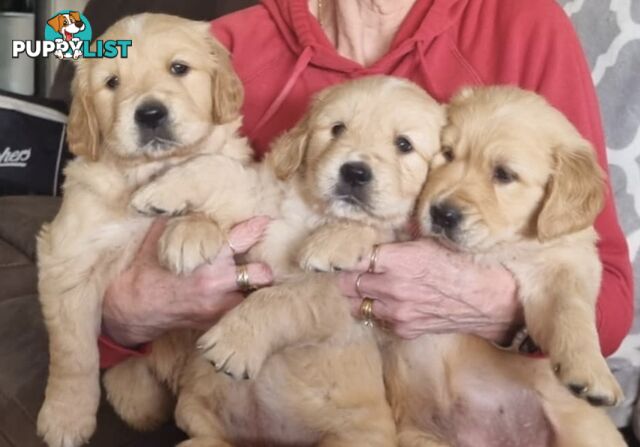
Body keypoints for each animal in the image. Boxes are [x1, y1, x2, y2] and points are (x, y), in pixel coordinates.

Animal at [34, 14, 250, 447]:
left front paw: (189, 231)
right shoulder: (67, 259)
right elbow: (74, 353)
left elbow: (216, 172)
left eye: (179, 68)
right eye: (112, 82)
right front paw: (65, 418)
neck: (148, 171)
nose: (150, 114)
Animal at [382, 85, 624, 447]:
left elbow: (571, 308)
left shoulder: (565, 262)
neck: (497, 246)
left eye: (504, 175)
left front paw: (590, 370)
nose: (442, 213)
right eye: (448, 154)